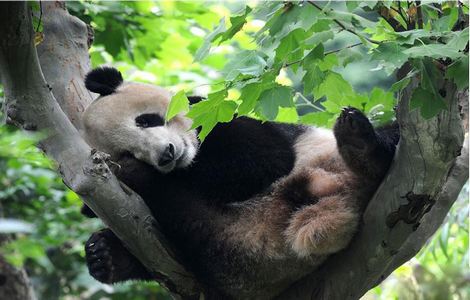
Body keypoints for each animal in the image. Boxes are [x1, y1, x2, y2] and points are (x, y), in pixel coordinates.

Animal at [81, 67, 400, 298]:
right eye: (128, 151)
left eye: (145, 120)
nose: (166, 155)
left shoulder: (216, 116)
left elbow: (262, 158)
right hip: (227, 248)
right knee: (178, 218)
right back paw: (107, 254)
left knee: (392, 134)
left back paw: (363, 145)